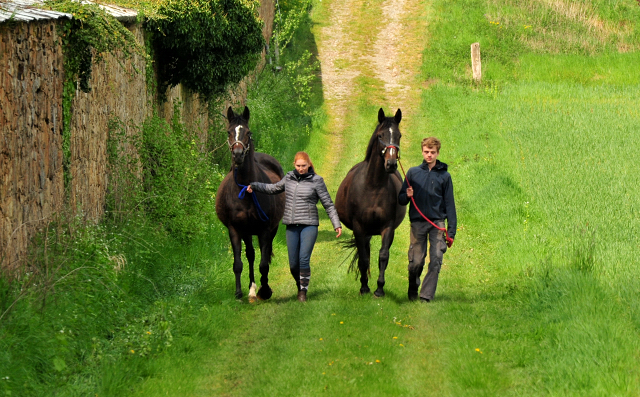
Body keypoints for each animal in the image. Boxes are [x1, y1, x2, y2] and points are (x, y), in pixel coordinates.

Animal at [215, 105, 284, 300]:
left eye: (248, 132)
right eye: (229, 132)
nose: (238, 155)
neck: (245, 190)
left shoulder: (265, 229)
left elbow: (264, 263)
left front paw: (265, 290)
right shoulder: (235, 229)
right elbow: (239, 263)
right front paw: (239, 292)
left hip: (271, 228)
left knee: (263, 255)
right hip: (247, 231)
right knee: (251, 255)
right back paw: (252, 289)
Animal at [336, 106, 404, 296]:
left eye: (399, 135)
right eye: (380, 135)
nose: (391, 164)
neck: (374, 186)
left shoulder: (388, 227)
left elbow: (383, 256)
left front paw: (379, 288)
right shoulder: (359, 227)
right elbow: (364, 258)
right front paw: (364, 287)